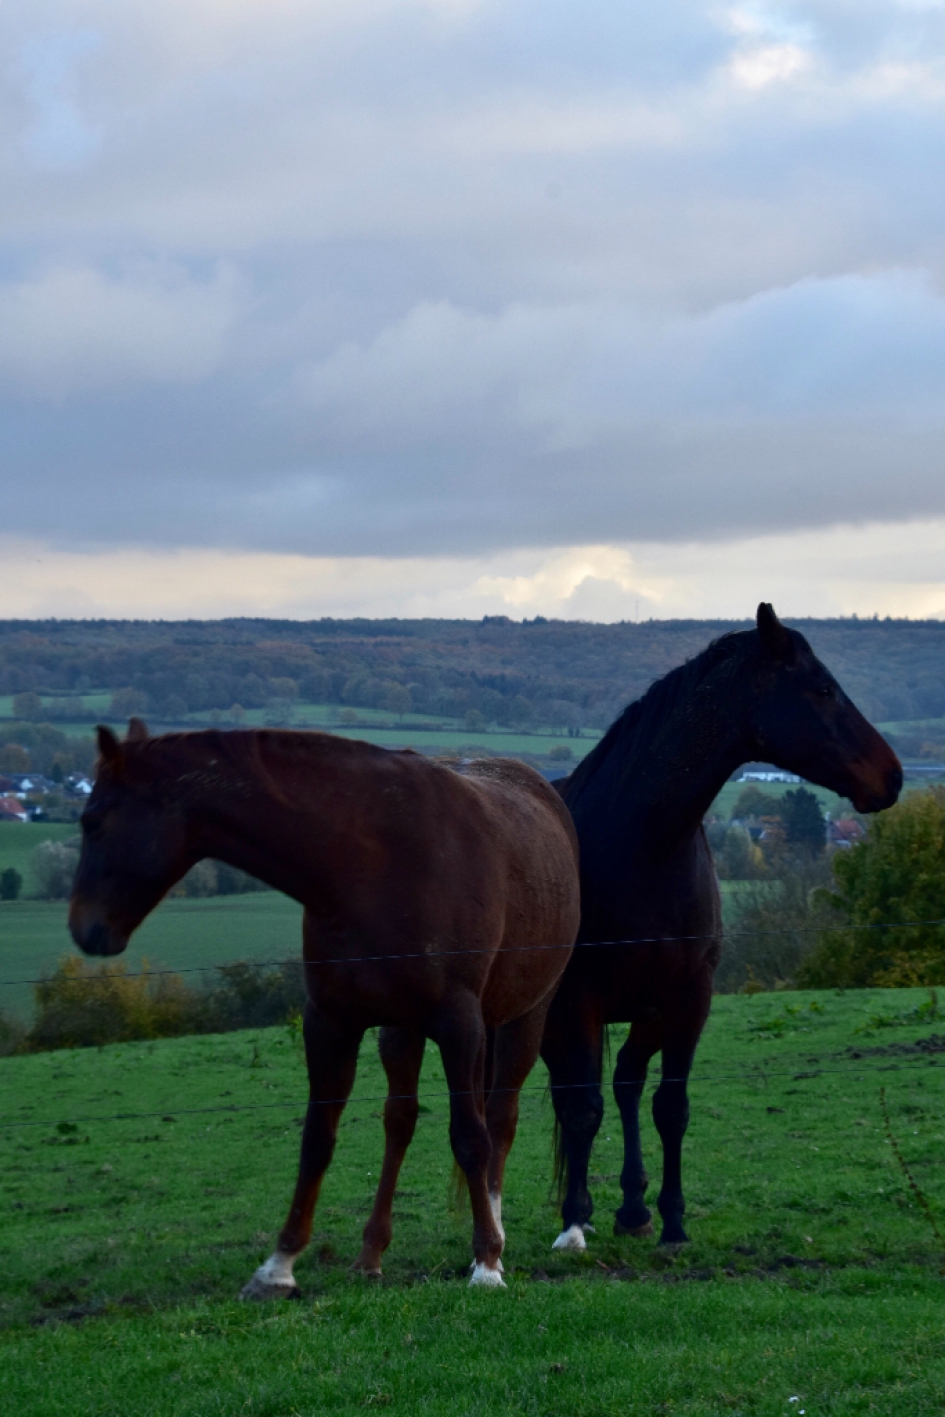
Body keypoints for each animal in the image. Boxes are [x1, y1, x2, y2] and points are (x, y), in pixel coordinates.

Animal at [68, 722, 580, 1293]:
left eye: (92, 821)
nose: (84, 928)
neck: (368, 860)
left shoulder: (459, 1022)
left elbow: (471, 1136)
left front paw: (487, 1262)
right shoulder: (331, 1021)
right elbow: (318, 1137)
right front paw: (278, 1265)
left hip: (523, 1016)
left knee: (500, 1119)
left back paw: (493, 1239)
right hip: (401, 1029)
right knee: (400, 1120)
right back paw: (371, 1252)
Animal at [540, 602, 902, 1252]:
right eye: (823, 689)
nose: (893, 775)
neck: (643, 846)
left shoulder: (688, 999)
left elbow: (670, 1107)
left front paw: (672, 1222)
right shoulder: (576, 1003)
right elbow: (581, 1108)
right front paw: (574, 1220)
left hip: (647, 1011)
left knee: (627, 1081)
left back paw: (633, 1208)